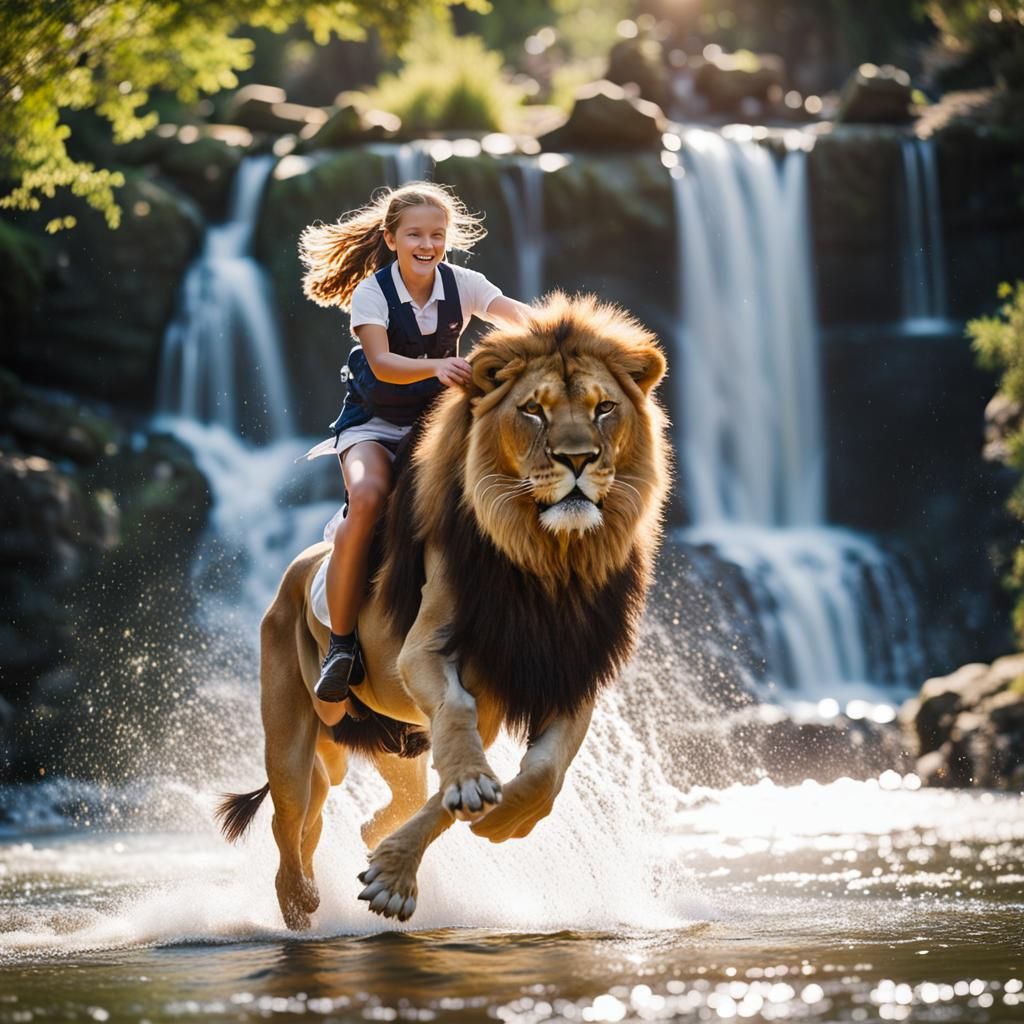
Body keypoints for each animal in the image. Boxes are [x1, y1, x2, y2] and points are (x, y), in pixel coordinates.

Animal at [215, 293, 670, 929]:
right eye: (533, 411)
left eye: (604, 408)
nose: (577, 460)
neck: (549, 561)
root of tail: (295, 570)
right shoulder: (426, 652)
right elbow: (457, 721)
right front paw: (432, 839)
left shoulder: (571, 673)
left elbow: (541, 773)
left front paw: (493, 821)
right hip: (288, 738)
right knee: (290, 823)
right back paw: (302, 905)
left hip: (393, 743)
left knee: (352, 810)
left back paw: (367, 837)